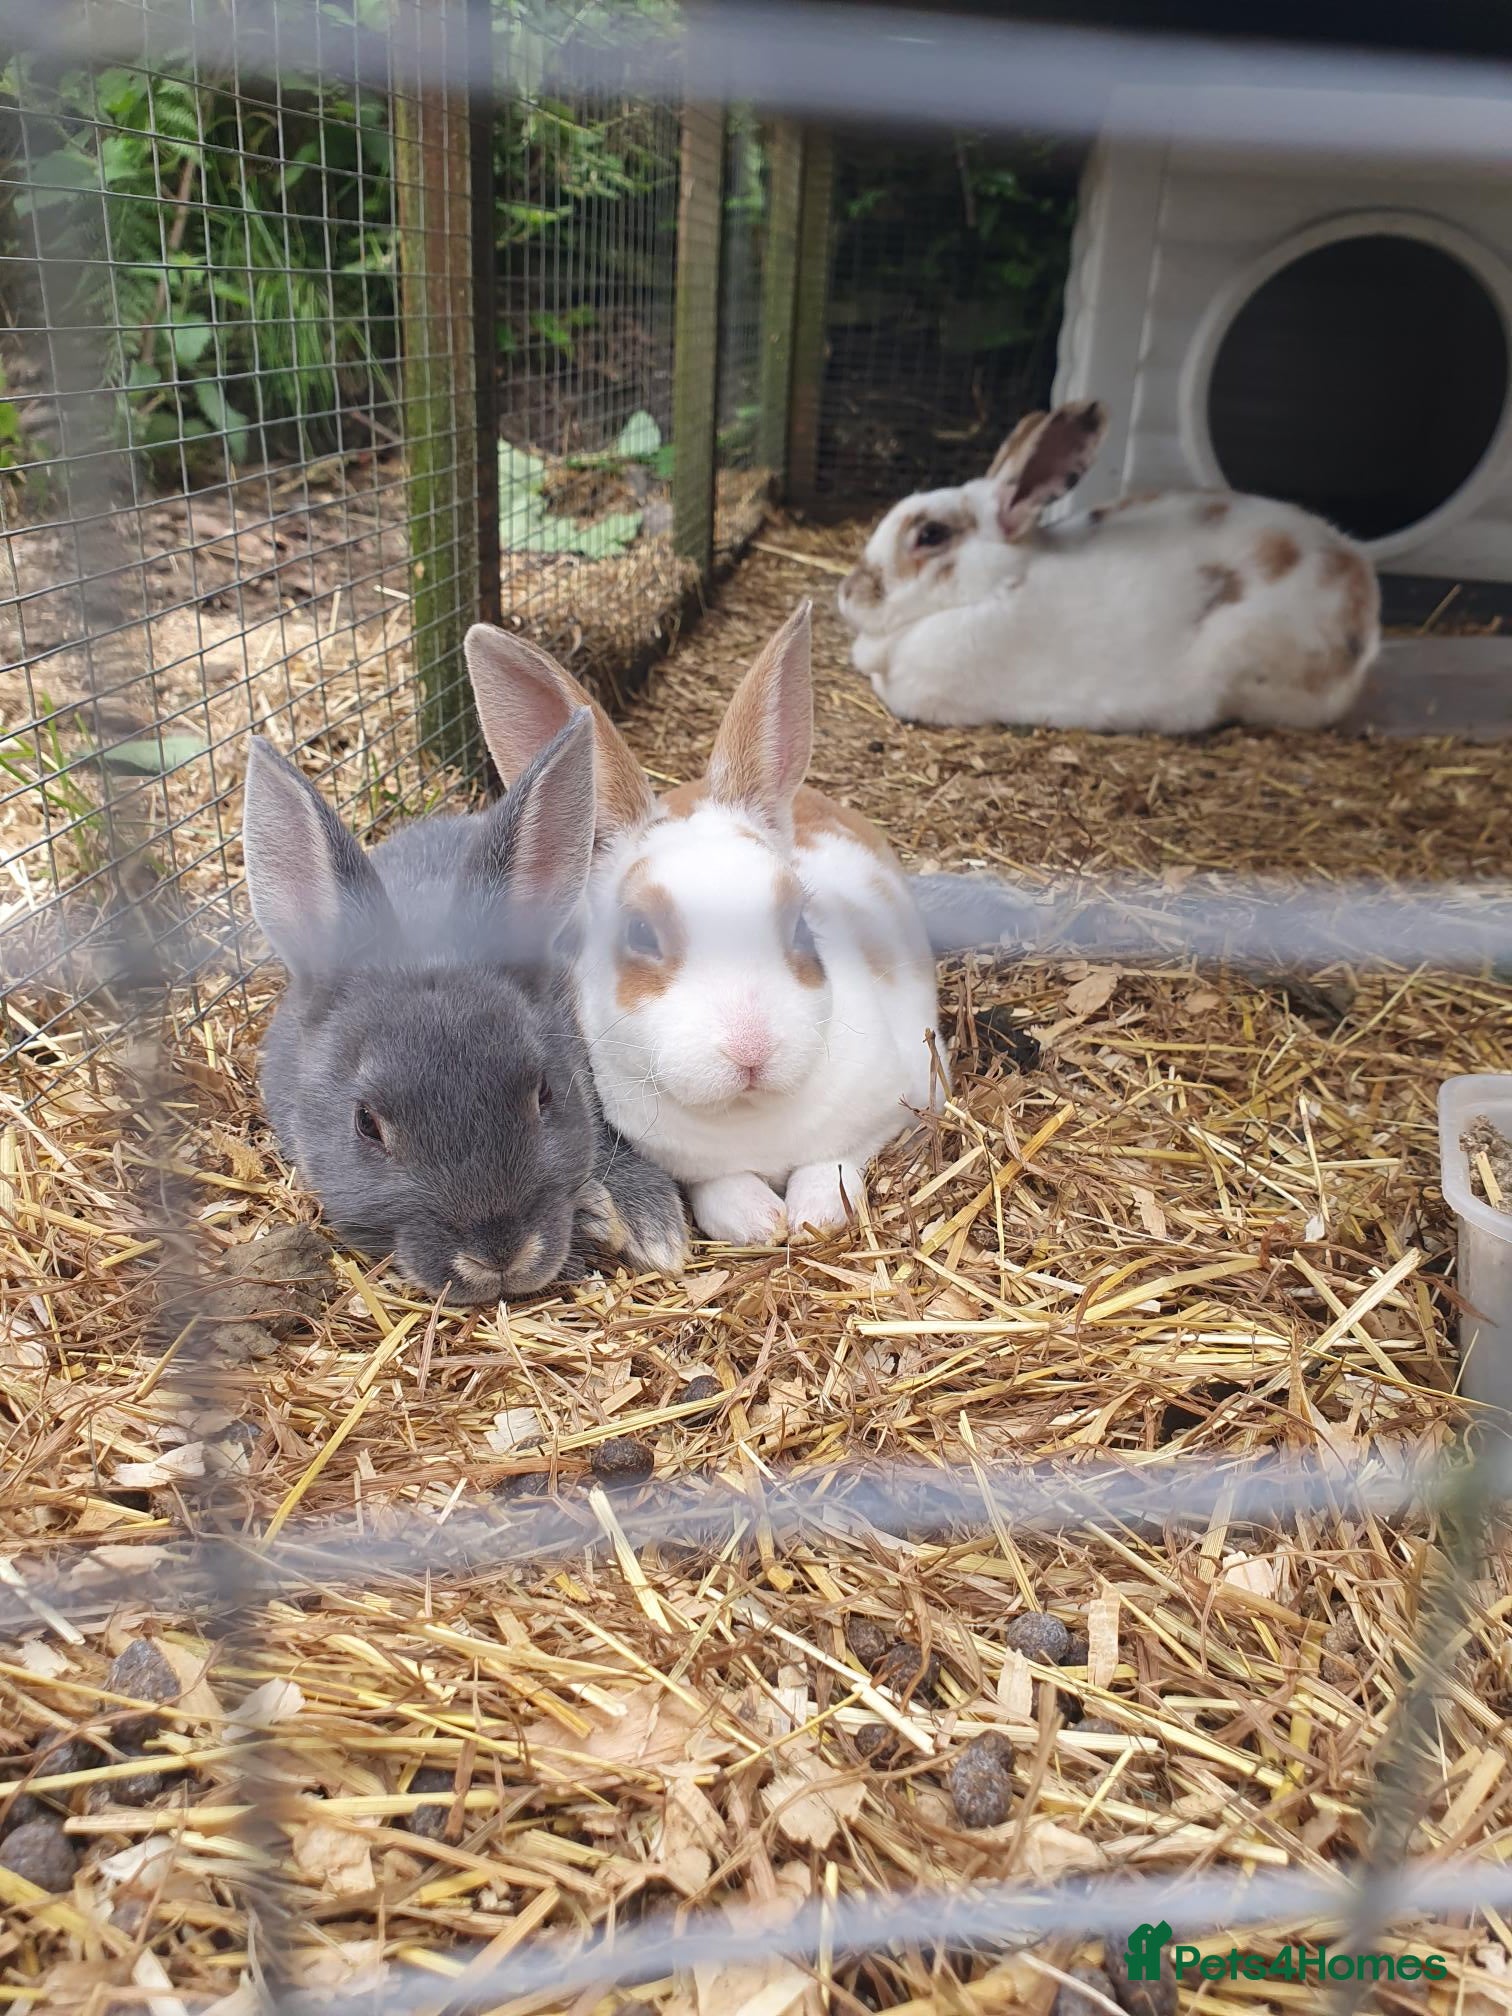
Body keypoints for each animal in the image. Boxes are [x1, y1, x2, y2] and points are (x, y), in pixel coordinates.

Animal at [461, 603, 944, 1247]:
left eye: (799, 925)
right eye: (640, 933)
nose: (752, 1050)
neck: (748, 1115)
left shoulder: (895, 1103)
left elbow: (835, 1163)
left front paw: (811, 1216)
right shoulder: (689, 1168)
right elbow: (718, 1189)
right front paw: (761, 1221)